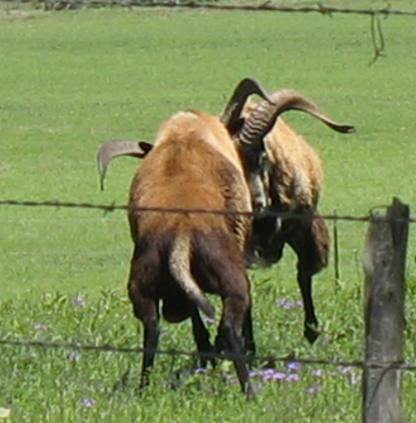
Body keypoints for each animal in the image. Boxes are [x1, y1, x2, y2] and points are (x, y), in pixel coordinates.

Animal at [228, 89, 354, 344]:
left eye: (262, 156)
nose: (255, 206)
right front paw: (247, 343)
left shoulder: (303, 227)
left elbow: (303, 274)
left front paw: (312, 332)